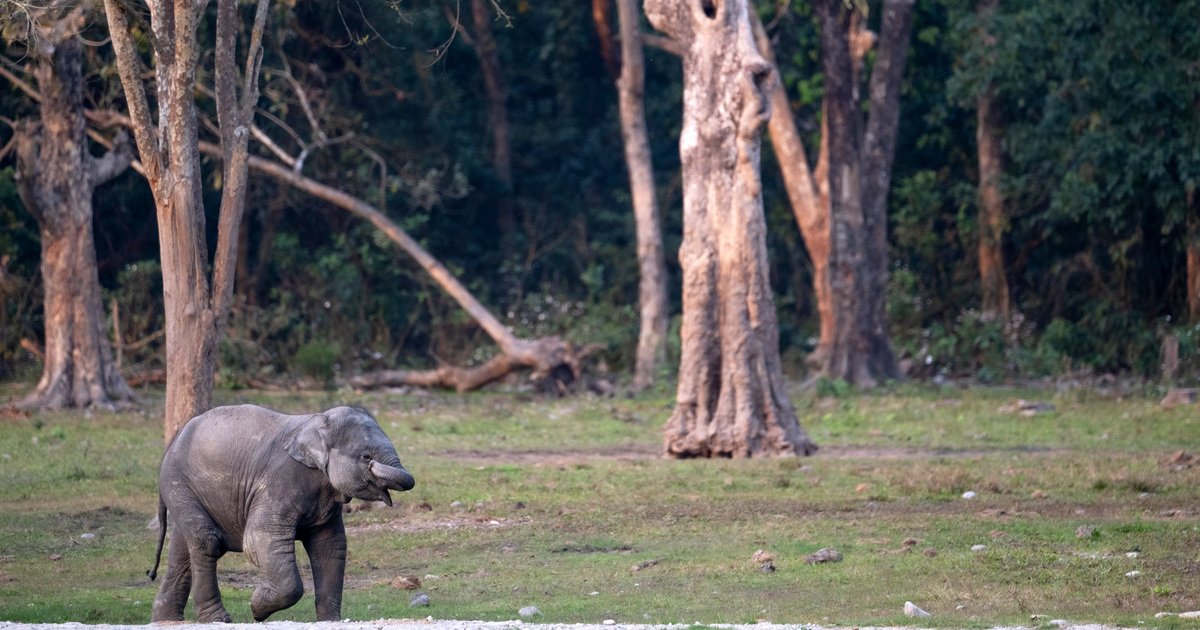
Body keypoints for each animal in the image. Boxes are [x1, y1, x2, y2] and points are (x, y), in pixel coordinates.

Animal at [148, 405, 417, 619]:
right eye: (366, 456)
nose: (372, 467)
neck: (315, 423)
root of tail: (171, 446)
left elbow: (331, 546)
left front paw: (330, 621)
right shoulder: (277, 483)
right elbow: (259, 539)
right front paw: (256, 608)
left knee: (183, 550)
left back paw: (167, 620)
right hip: (179, 484)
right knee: (207, 542)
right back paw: (217, 620)